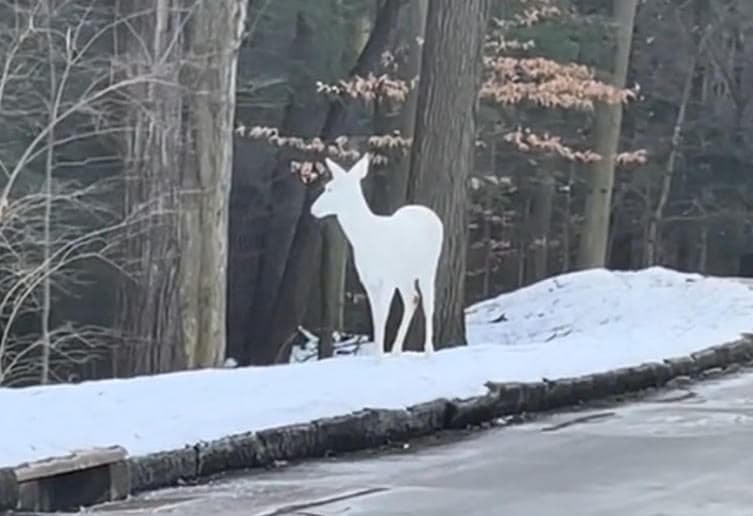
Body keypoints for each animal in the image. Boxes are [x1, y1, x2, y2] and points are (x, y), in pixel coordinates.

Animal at [310, 153, 443, 357]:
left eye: (330, 188)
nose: (313, 209)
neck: (368, 238)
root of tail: (431, 214)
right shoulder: (369, 280)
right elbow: (375, 318)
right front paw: (377, 354)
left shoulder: (387, 278)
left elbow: (382, 315)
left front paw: (379, 357)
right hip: (403, 276)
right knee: (412, 298)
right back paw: (396, 351)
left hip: (428, 267)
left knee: (429, 303)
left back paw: (429, 351)